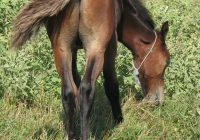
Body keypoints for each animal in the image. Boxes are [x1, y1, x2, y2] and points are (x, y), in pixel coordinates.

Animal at [11, 0, 170, 139]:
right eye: (167, 62)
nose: (159, 99)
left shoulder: (72, 49)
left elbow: (75, 83)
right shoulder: (110, 44)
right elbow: (111, 85)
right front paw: (119, 122)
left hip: (61, 48)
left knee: (68, 92)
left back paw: (71, 135)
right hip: (95, 48)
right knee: (86, 89)